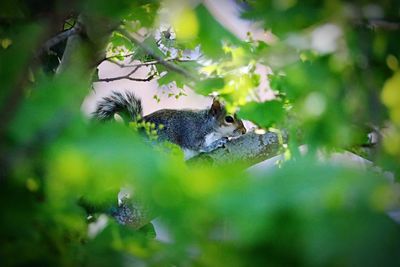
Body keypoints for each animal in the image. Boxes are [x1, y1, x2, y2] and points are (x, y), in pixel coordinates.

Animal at [92, 91, 247, 159]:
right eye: (229, 119)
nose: (244, 131)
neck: (207, 124)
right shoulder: (192, 133)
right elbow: (200, 147)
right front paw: (216, 143)